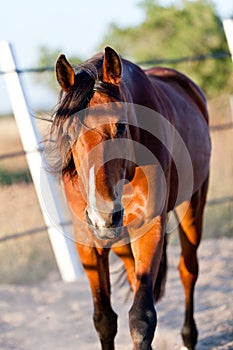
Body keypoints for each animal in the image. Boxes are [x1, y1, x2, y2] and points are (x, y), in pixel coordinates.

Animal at [51, 47, 211, 350]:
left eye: (122, 127)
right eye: (69, 132)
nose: (103, 216)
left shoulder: (149, 228)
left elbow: (141, 318)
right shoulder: (88, 240)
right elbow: (104, 319)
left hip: (193, 205)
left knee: (189, 270)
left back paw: (189, 336)